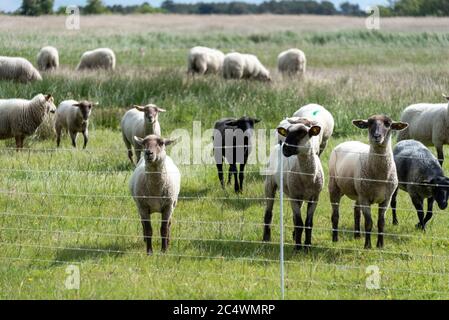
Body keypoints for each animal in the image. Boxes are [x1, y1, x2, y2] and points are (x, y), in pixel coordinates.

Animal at [262, 117, 322, 250]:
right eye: (287, 133)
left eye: (302, 133)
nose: (286, 148)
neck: (307, 177)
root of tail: (278, 145)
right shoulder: (294, 196)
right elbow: (300, 223)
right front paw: (298, 248)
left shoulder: (314, 197)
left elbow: (308, 223)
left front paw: (307, 246)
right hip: (270, 183)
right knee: (268, 213)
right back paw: (266, 238)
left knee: (294, 217)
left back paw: (295, 236)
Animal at [328, 114, 408, 249]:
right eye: (370, 123)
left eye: (388, 124)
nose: (377, 136)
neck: (379, 177)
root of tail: (346, 142)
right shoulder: (365, 198)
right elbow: (369, 223)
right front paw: (368, 246)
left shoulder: (386, 199)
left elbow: (381, 223)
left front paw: (380, 245)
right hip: (334, 186)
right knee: (335, 215)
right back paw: (335, 239)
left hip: (358, 192)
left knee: (356, 211)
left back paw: (357, 235)